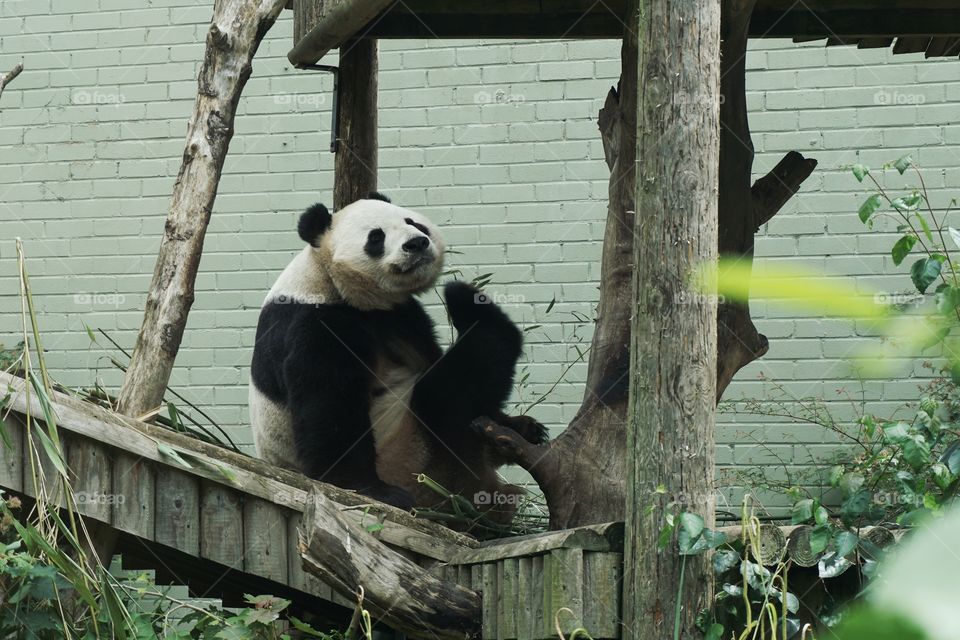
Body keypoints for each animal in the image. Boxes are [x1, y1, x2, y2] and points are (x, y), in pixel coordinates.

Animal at [249, 193, 547, 520]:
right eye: (376, 237)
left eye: (413, 222)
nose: (417, 243)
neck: (328, 278)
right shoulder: (316, 324)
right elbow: (330, 409)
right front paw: (373, 491)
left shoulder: (403, 319)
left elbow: (428, 354)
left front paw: (518, 424)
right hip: (415, 456)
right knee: (453, 386)